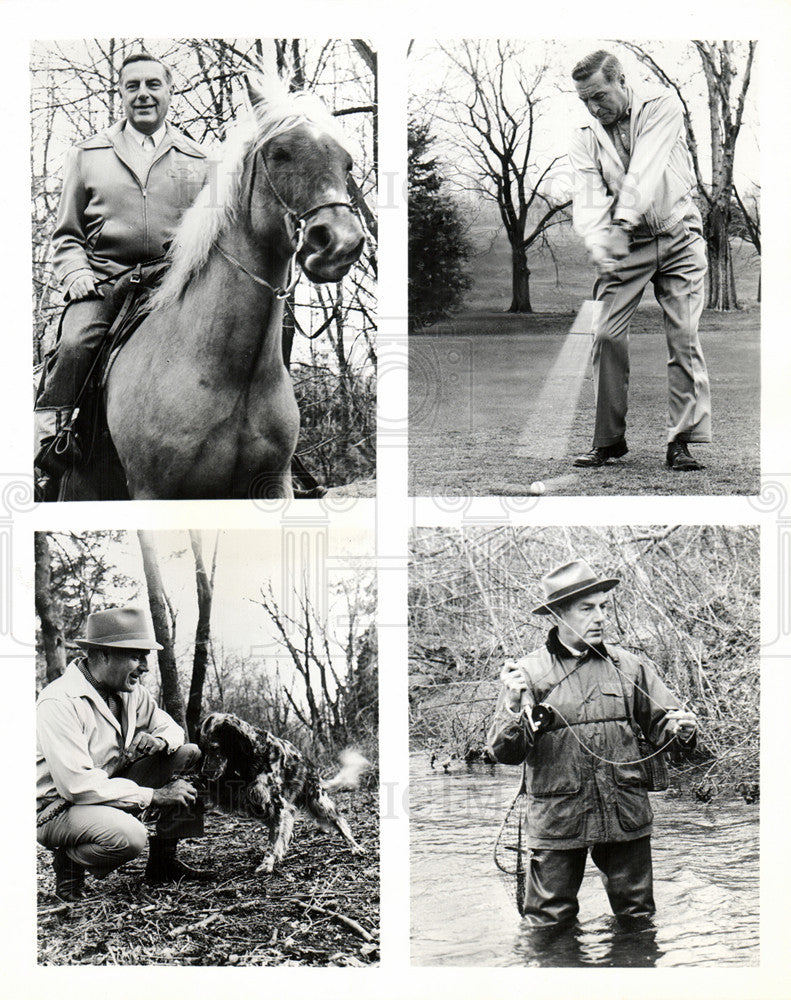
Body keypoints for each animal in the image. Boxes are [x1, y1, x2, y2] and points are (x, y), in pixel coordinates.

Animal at [61, 80, 366, 500]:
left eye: (347, 163)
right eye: (280, 153)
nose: (342, 243)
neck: (234, 374)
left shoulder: (273, 486)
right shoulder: (151, 491)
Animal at [198, 716, 372, 872]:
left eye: (214, 747)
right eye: (203, 748)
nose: (204, 773)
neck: (251, 759)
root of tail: (310, 766)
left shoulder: (278, 805)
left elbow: (274, 839)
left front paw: (267, 863)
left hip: (318, 802)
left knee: (339, 822)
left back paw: (355, 846)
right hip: (260, 808)